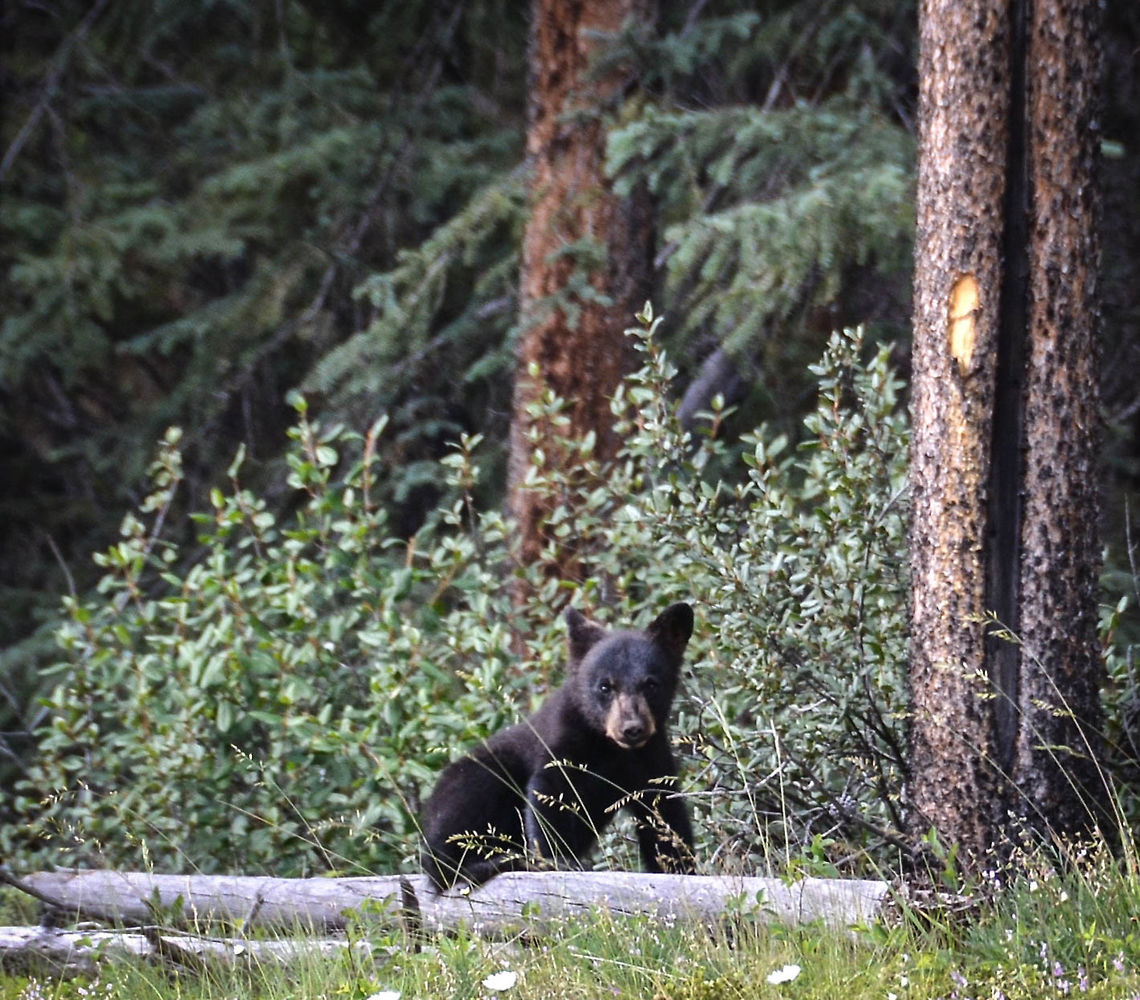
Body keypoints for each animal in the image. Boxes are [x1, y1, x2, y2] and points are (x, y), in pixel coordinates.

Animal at [420, 602, 696, 890]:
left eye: (651, 684)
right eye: (605, 686)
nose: (632, 728)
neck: (609, 747)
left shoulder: (651, 758)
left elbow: (663, 813)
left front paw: (679, 866)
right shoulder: (562, 741)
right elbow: (550, 792)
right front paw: (558, 859)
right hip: (475, 779)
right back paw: (495, 862)